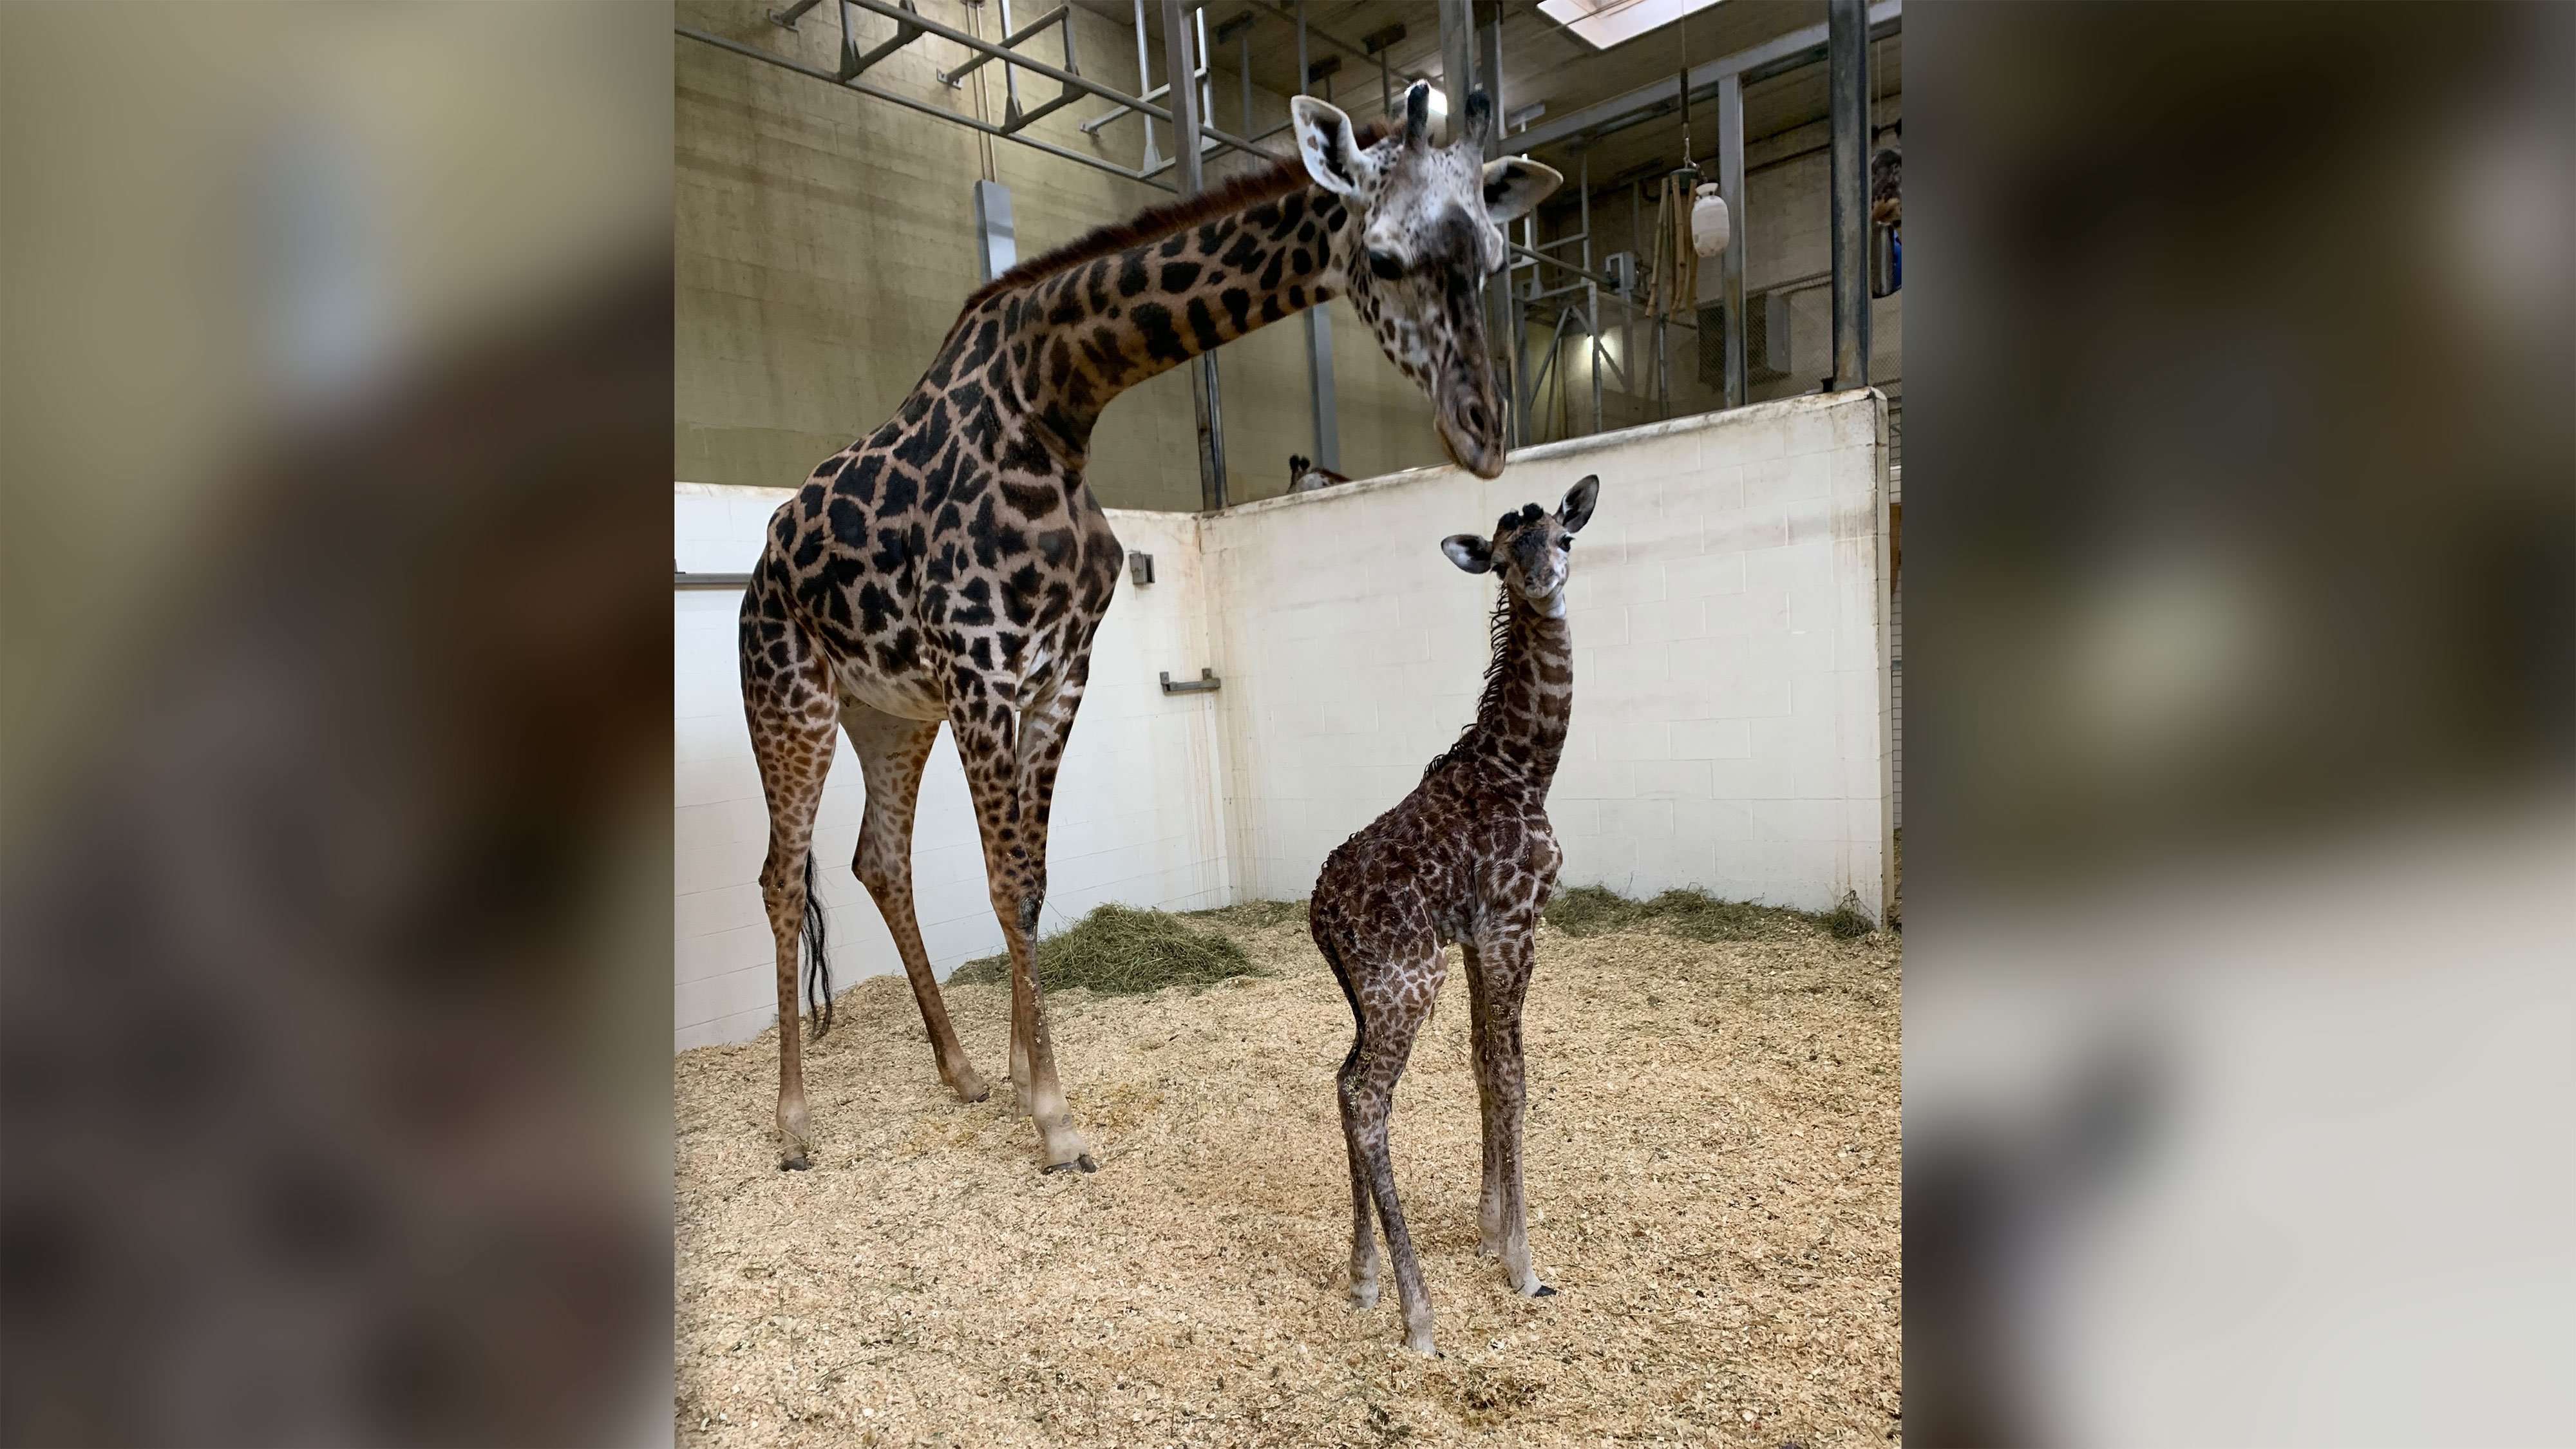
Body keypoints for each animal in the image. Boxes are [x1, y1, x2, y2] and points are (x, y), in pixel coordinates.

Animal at [742, 81, 1562, 1173]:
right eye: (1385, 258)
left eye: (1494, 258)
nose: (1483, 432)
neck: (1058, 399)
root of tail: (758, 568)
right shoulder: (982, 669)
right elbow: (1007, 882)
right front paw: (1054, 1120)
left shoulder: (1056, 675)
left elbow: (1032, 879)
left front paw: (1020, 1081)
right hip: (789, 695)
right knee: (781, 874)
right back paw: (794, 1123)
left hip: (890, 714)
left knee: (879, 859)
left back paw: (958, 1072)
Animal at [1307, 474, 1600, 1354]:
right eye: (1504, 558)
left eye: (1564, 539)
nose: (1542, 581)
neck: (1526, 766)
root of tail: (1316, 914)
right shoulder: (1514, 922)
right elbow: (1513, 1075)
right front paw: (1523, 1266)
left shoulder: (1475, 936)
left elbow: (1480, 1064)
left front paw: (1486, 1228)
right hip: (1407, 980)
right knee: (1366, 1096)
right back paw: (1420, 1316)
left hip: (1373, 993)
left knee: (1341, 1083)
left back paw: (1365, 1280)